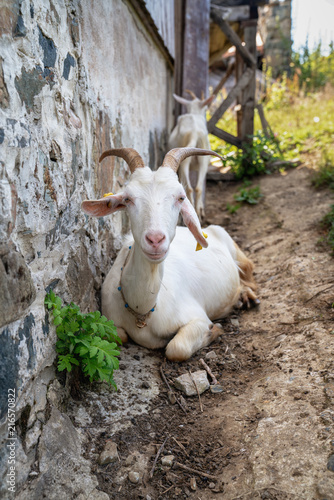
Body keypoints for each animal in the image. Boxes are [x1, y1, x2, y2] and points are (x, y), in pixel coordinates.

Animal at [81, 146, 258, 362]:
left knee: (249, 270)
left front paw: (215, 330)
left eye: (180, 197)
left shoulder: (197, 317)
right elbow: (119, 336)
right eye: (127, 199)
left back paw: (247, 296)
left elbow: (176, 348)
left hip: (231, 243)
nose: (155, 239)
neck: (142, 309)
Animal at [168, 92, 215, 221]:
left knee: (190, 188)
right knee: (197, 188)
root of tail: (194, 133)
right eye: (206, 109)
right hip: (202, 159)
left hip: (186, 160)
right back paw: (198, 214)